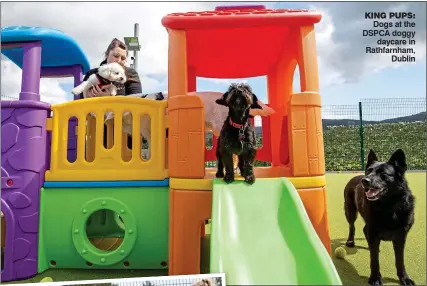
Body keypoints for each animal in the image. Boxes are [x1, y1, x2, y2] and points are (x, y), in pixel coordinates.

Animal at [346, 149, 416, 284]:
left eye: (383, 173)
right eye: (369, 171)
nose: (364, 181)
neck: (388, 207)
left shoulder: (401, 238)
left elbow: (400, 260)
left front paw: (404, 277)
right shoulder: (374, 234)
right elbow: (374, 260)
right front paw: (375, 278)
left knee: (363, 229)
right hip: (350, 212)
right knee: (352, 226)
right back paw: (350, 241)